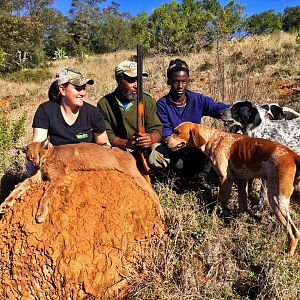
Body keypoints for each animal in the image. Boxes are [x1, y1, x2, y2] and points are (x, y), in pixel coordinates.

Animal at [166, 121, 300, 255]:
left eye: (178, 132)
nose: (164, 140)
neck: (214, 138)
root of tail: (293, 155)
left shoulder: (225, 179)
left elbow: (223, 201)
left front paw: (223, 218)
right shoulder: (242, 181)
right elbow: (243, 206)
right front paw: (238, 222)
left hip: (276, 199)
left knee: (294, 232)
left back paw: (287, 254)